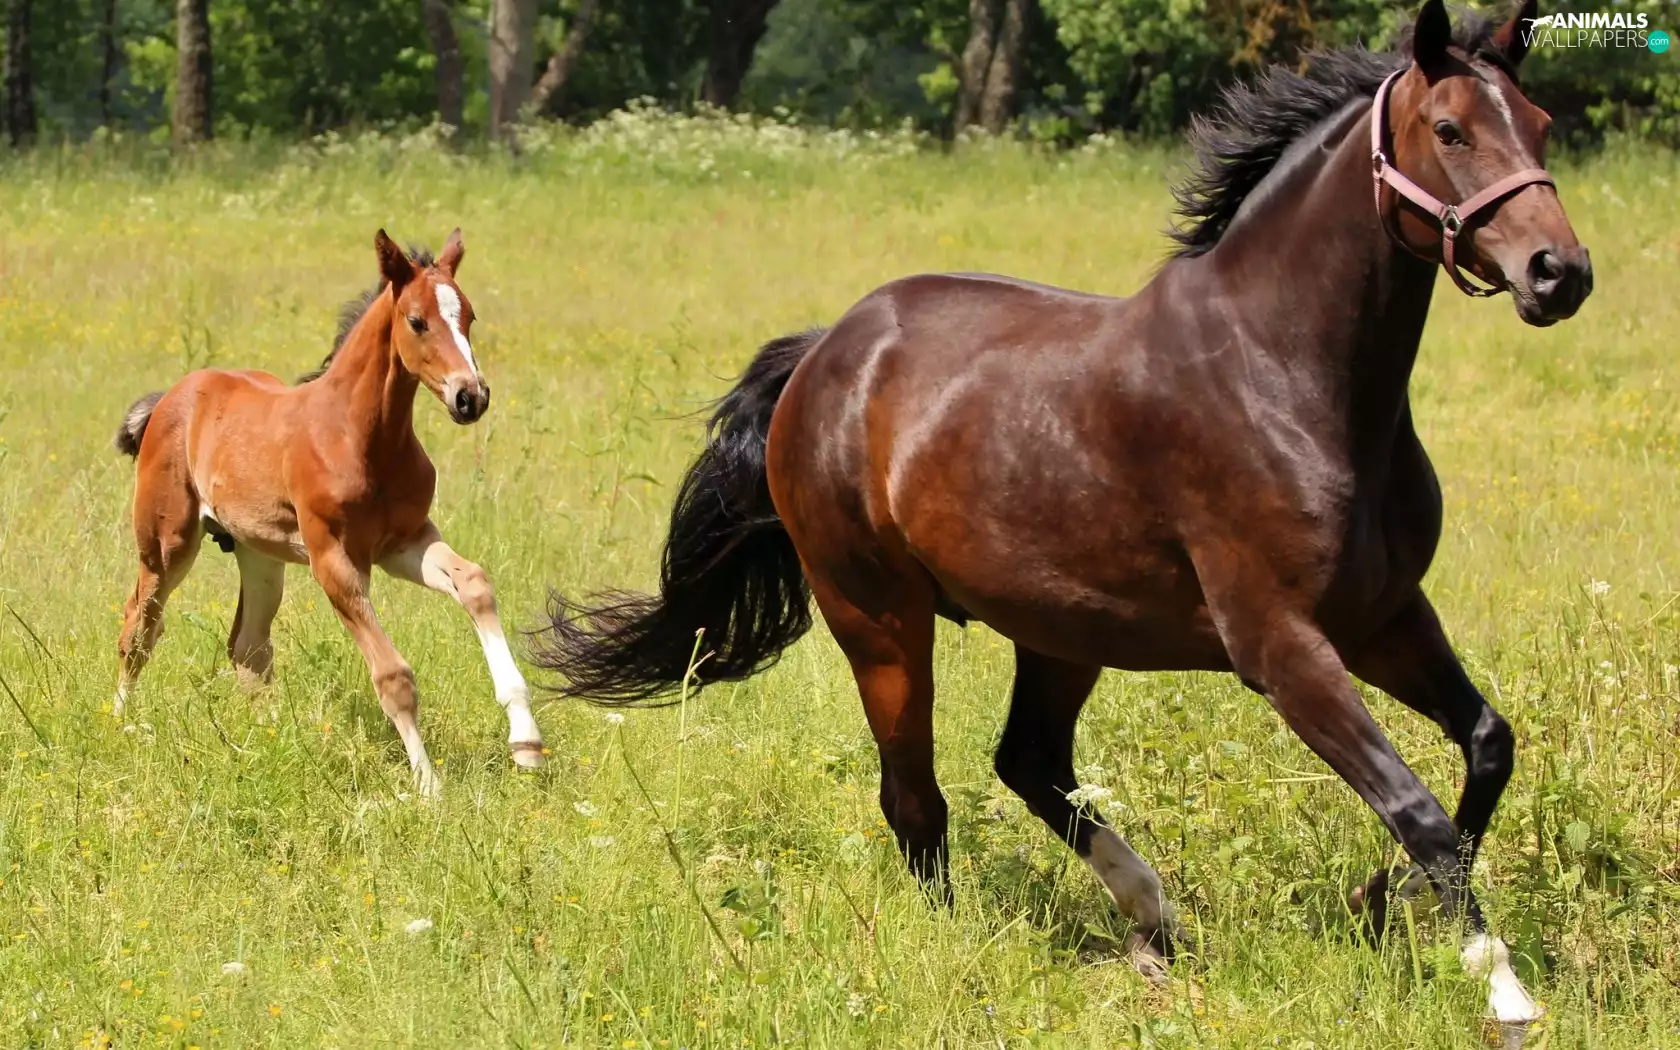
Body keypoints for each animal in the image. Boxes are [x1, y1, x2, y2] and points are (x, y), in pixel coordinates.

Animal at [112, 229, 545, 796]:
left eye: (469, 316)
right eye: (417, 321)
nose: (470, 396)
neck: (361, 436)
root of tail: (171, 397)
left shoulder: (405, 542)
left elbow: (474, 583)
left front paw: (527, 743)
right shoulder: (334, 560)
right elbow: (393, 676)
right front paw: (429, 785)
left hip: (259, 552)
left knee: (248, 647)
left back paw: (274, 737)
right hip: (166, 544)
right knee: (138, 628)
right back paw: (122, 724)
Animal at [534, 0, 1589, 1028]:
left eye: (1540, 124)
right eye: (1449, 130)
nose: (1559, 273)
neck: (1287, 375)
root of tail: (826, 352)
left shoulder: (1384, 618)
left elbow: (1486, 749)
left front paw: (1383, 900)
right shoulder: (1282, 648)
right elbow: (1418, 810)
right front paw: (1501, 986)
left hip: (1063, 630)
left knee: (1028, 761)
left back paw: (1153, 918)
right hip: (878, 619)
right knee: (915, 795)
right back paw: (966, 950)